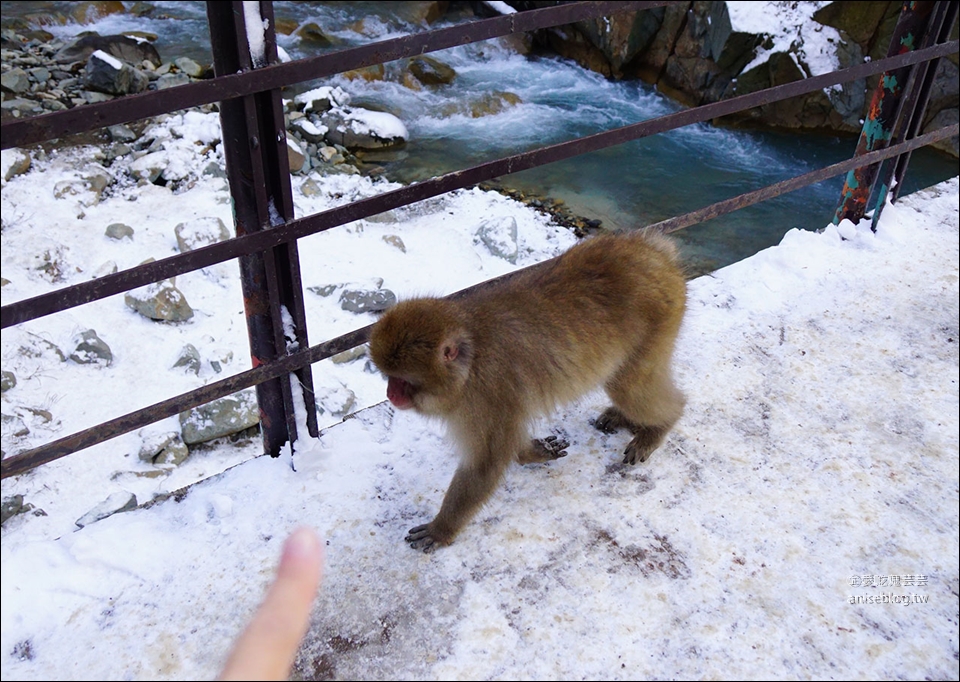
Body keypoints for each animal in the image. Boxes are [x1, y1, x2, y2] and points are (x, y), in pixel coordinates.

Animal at [370, 231, 688, 548]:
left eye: (403, 381)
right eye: (388, 377)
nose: (390, 395)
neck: (471, 363)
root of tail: (654, 252)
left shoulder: (487, 394)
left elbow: (486, 463)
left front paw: (440, 529)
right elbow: (510, 445)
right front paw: (537, 451)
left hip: (660, 321)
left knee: (631, 386)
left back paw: (658, 427)